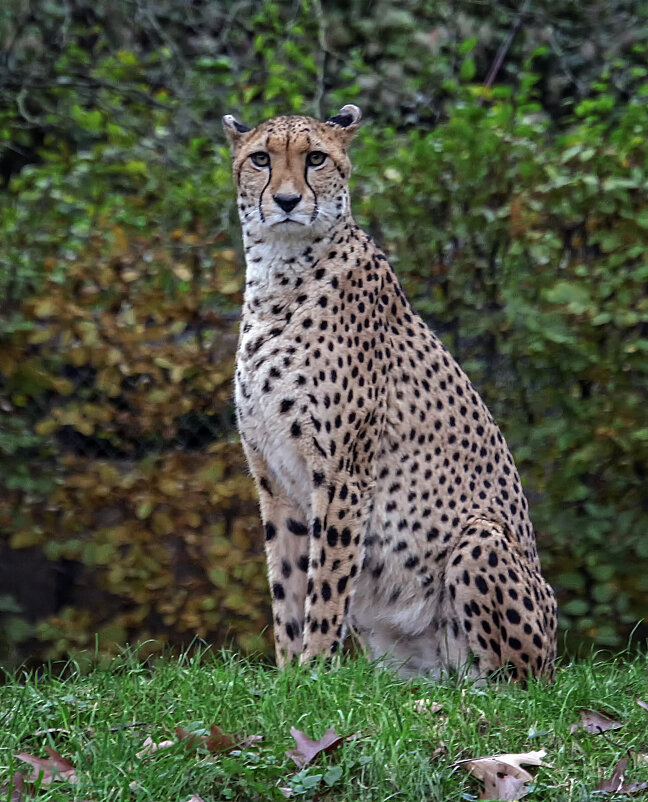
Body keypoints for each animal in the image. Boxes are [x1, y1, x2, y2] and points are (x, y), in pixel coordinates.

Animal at [223, 103, 556, 680]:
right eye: (261, 159)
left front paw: (315, 671)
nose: (286, 201)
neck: (279, 275)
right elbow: (287, 585)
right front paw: (289, 676)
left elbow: (325, 584)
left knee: (517, 681)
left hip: (481, 539)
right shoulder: (275, 479)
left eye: (316, 159)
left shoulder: (343, 474)